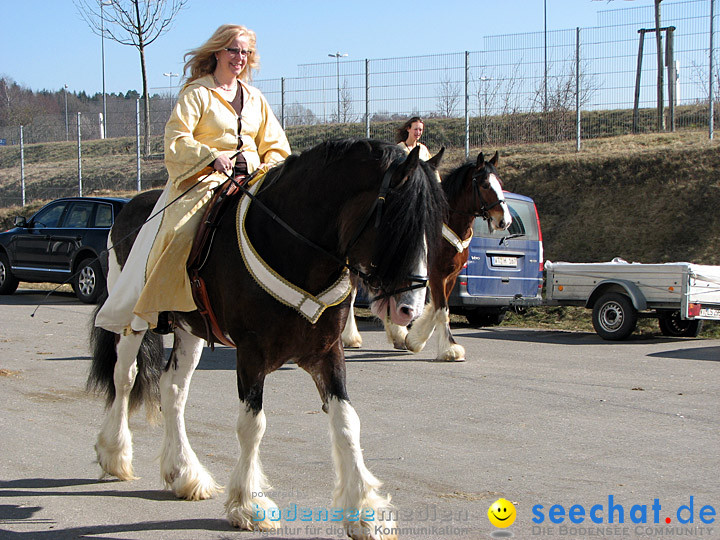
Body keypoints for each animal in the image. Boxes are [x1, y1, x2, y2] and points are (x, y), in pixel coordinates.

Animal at [88, 140, 448, 540]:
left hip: (189, 329)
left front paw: (364, 511)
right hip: (133, 321)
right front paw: (250, 505)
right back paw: (114, 453)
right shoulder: (250, 354)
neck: (294, 248)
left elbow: (347, 423)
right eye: (398, 221)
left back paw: (184, 473)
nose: (409, 308)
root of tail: (129, 207)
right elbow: (252, 426)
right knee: (126, 377)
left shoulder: (327, 352)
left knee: (173, 388)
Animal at [344, 151, 512, 362]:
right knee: (351, 297)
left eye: (500, 182)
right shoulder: (436, 274)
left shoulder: (450, 276)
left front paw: (415, 339)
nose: (505, 221)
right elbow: (442, 309)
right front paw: (449, 349)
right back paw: (351, 337)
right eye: (485, 185)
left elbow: (437, 307)